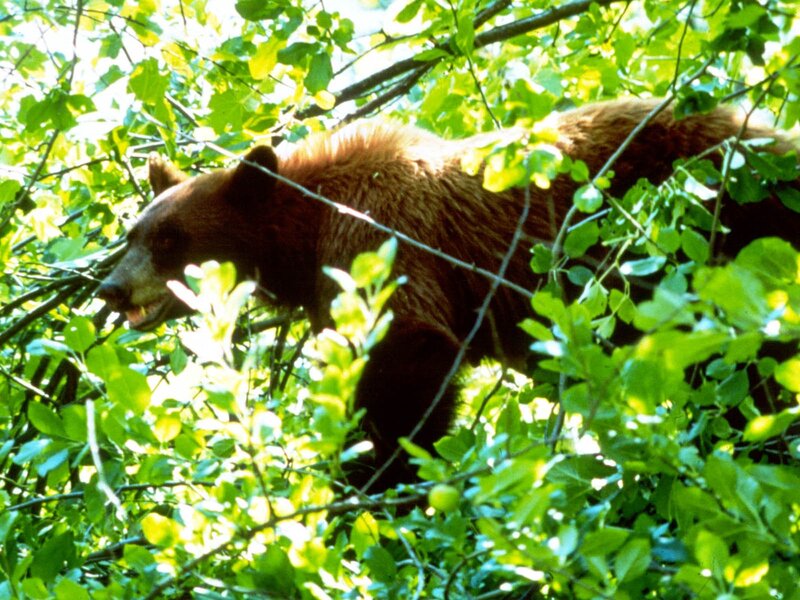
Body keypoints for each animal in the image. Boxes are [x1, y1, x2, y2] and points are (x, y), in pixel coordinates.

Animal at [98, 98, 799, 489]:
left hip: (726, 223)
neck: (304, 226)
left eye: (169, 239)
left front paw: (369, 485)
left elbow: (408, 352)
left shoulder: (380, 236)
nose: (110, 287)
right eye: (131, 233)